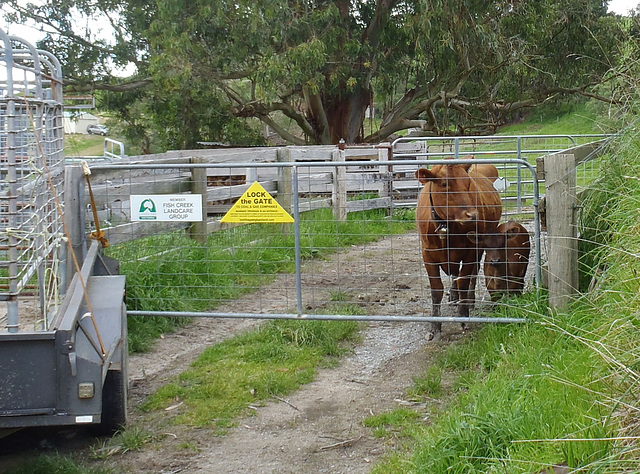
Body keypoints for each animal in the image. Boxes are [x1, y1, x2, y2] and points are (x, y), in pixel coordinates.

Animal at [416, 159, 504, 340]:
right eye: (444, 184)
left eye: (468, 183)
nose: (472, 215)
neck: (446, 227)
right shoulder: (428, 255)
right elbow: (436, 290)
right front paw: (435, 325)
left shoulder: (471, 251)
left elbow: (463, 280)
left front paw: (463, 316)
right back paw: (454, 296)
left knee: (472, 273)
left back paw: (468, 300)